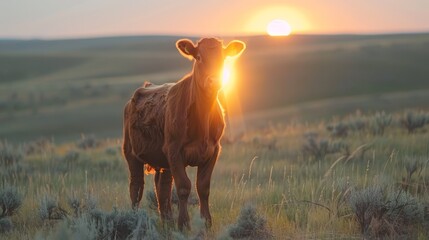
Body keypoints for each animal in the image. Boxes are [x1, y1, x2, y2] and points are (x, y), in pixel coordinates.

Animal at [122, 38, 246, 231]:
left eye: (223, 58)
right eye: (199, 57)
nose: (214, 81)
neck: (202, 120)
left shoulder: (213, 150)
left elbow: (203, 186)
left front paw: (206, 222)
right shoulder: (174, 151)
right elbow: (183, 187)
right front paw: (184, 224)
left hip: (163, 159)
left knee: (163, 188)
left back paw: (167, 221)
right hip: (131, 152)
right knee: (136, 187)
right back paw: (134, 220)